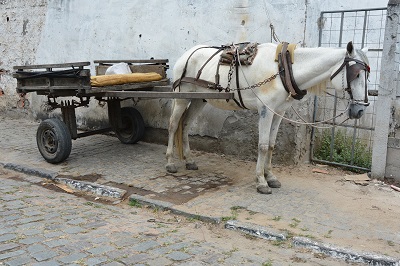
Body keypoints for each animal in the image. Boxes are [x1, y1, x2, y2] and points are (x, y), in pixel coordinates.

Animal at [165, 41, 368, 193]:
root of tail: (186, 55)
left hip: (200, 99)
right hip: (181, 97)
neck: (283, 70)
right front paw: (261, 181)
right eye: (357, 74)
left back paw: (189, 161)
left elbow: (271, 145)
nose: (360, 110)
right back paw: (170, 163)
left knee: (186, 125)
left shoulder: (279, 112)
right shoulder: (266, 110)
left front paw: (271, 177)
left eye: (368, 75)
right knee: (174, 125)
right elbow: (262, 146)